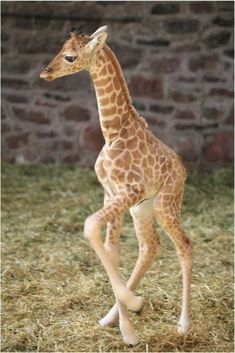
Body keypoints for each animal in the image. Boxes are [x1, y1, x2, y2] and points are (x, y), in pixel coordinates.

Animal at [40, 25, 193, 344]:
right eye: (62, 49)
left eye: (70, 56)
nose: (46, 72)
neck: (113, 132)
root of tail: (183, 169)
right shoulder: (111, 194)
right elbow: (111, 249)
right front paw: (127, 326)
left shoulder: (129, 190)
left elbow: (90, 227)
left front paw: (132, 311)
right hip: (142, 209)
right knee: (150, 247)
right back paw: (113, 316)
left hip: (165, 204)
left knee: (184, 246)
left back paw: (184, 325)